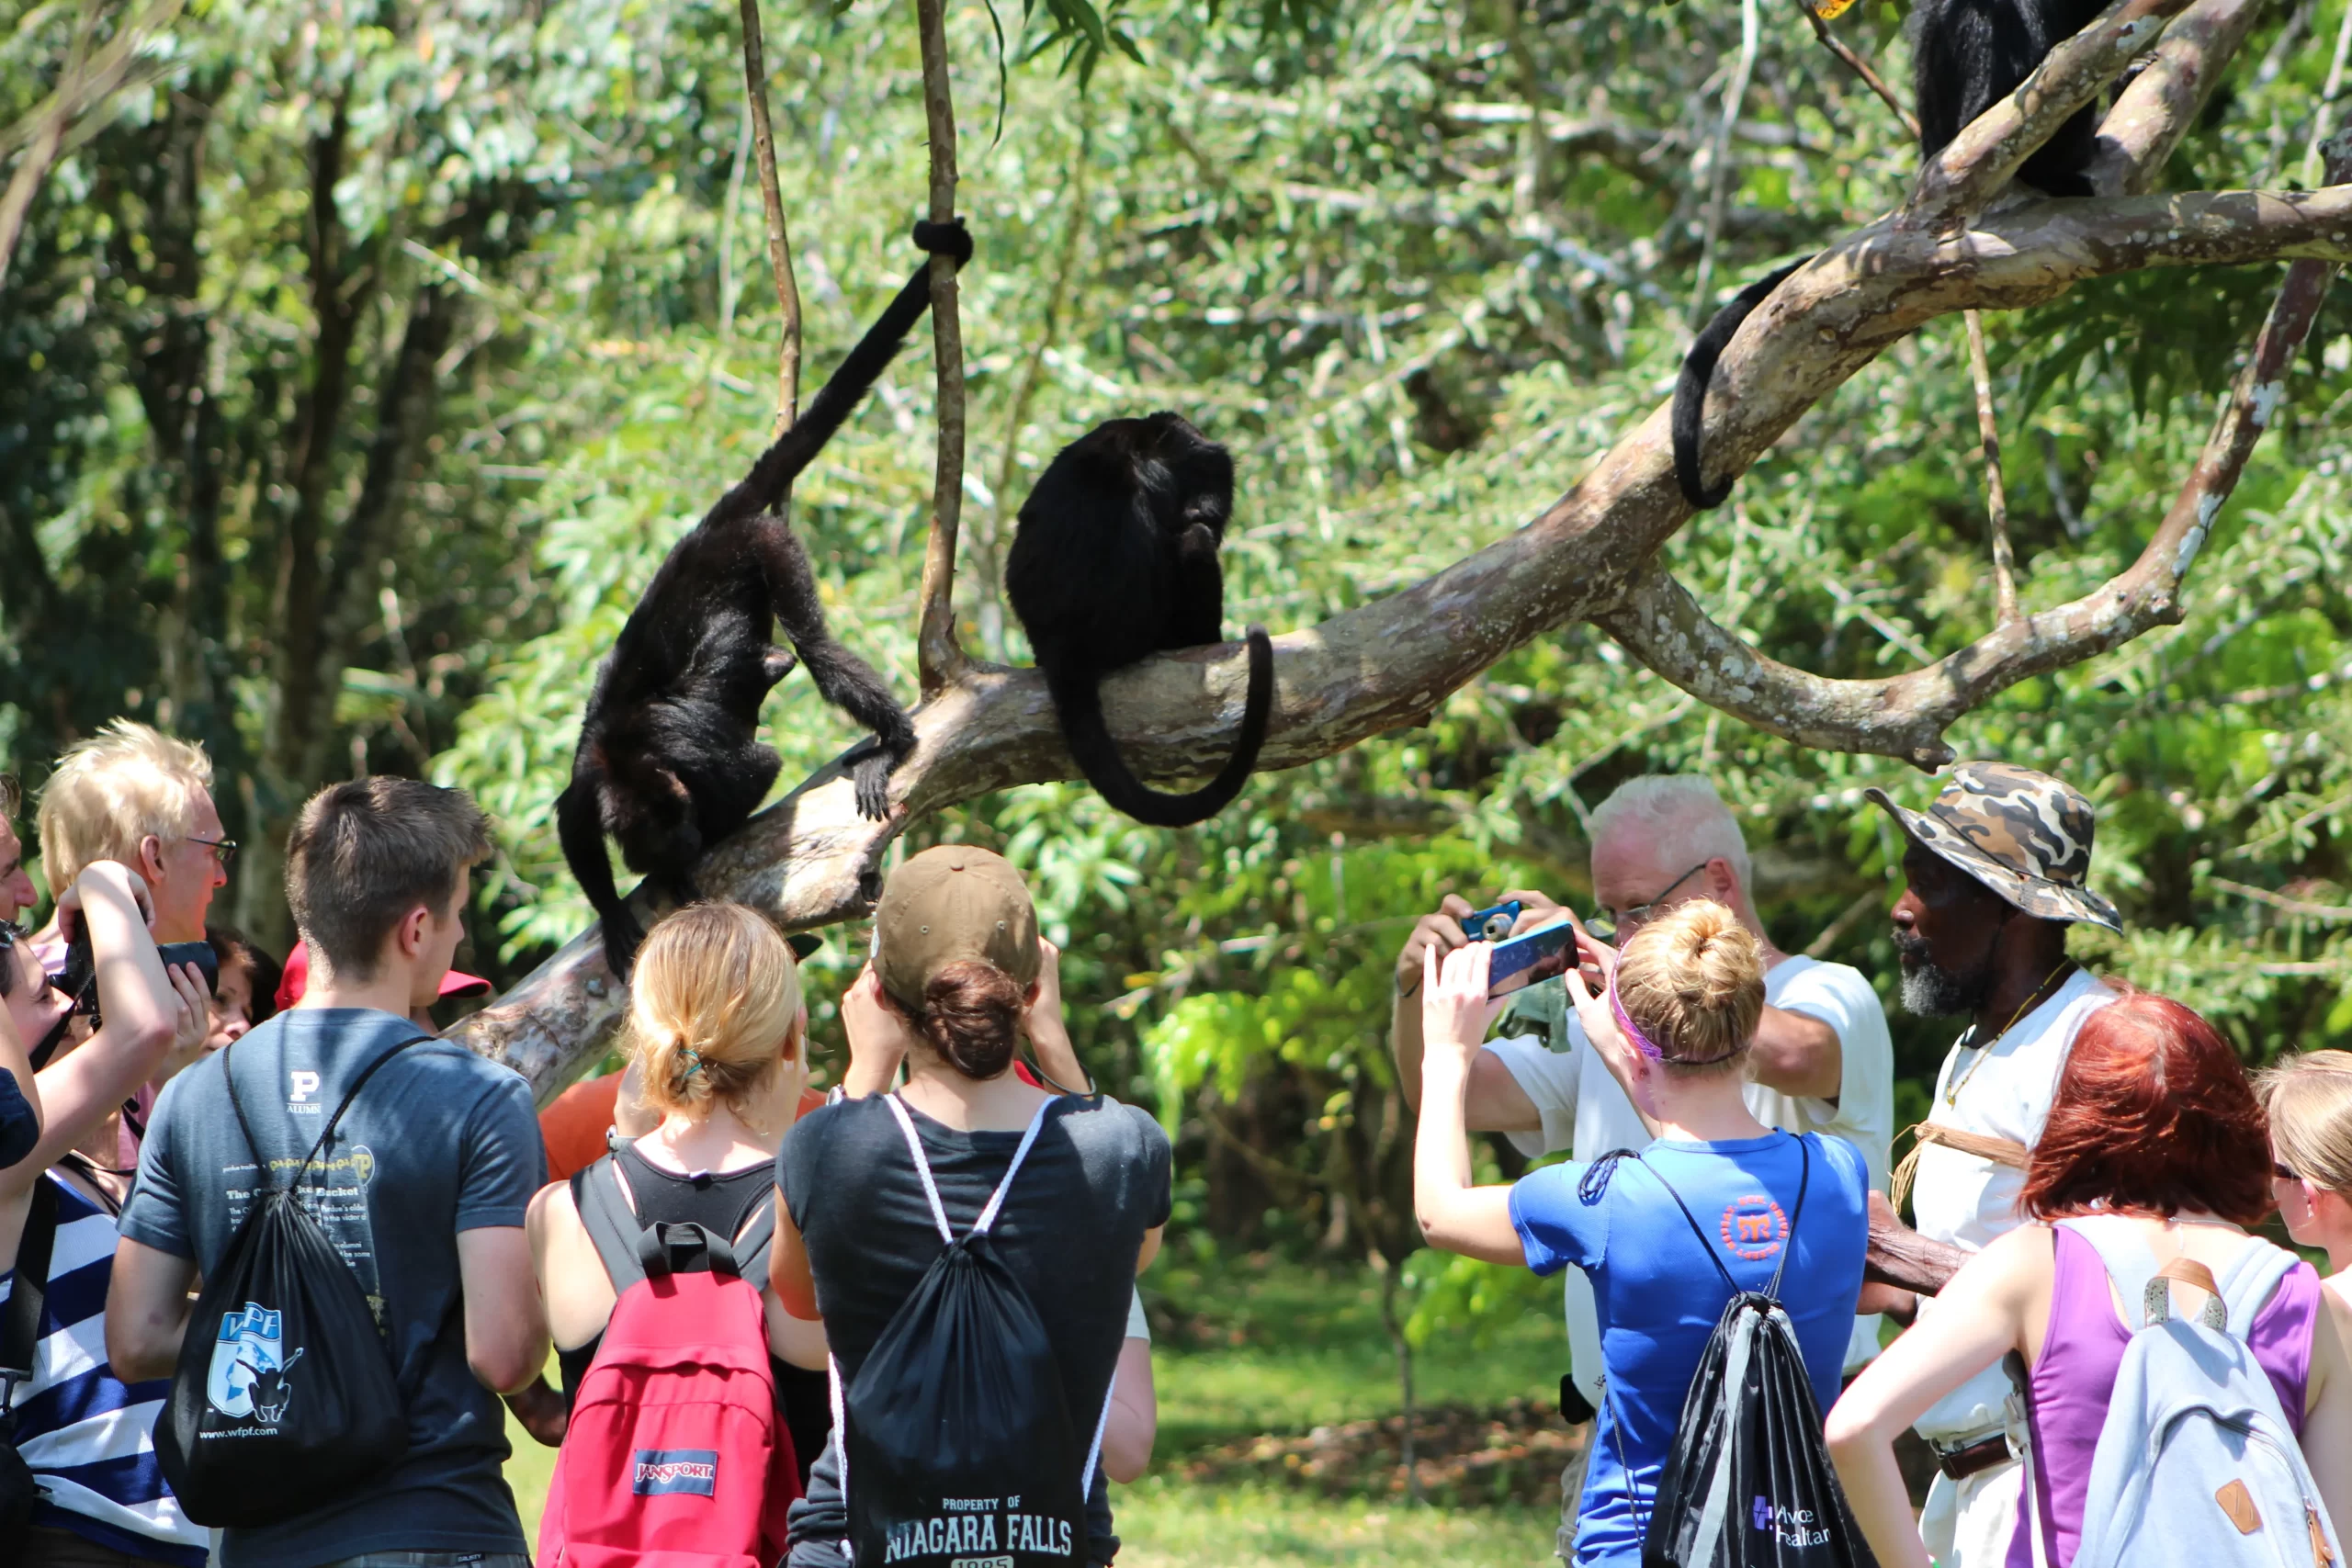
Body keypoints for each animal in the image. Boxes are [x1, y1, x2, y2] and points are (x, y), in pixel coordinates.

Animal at [558, 218, 973, 974]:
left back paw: (893, 741)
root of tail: (706, 532)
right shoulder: (584, 789)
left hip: (766, 543)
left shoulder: (690, 760)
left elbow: (759, 768)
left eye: (684, 829)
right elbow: (571, 829)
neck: (629, 765)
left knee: (816, 648)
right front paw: (613, 906)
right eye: (666, 835)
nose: (686, 848)